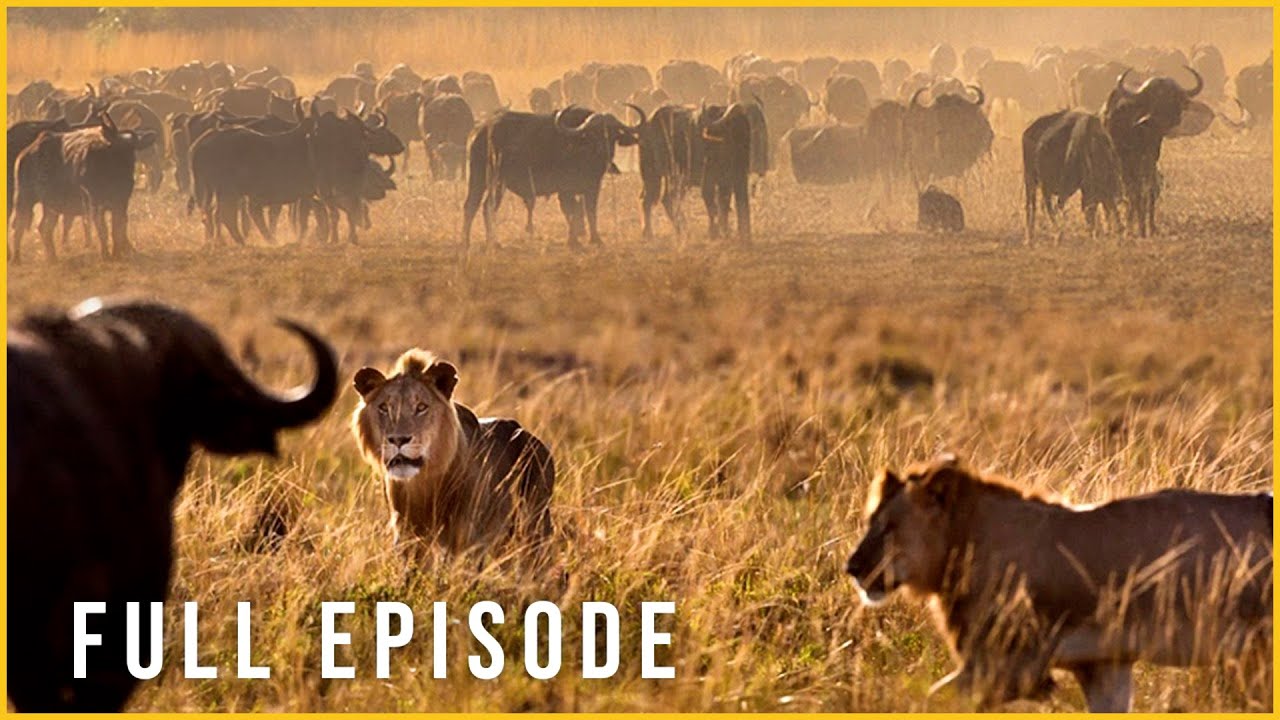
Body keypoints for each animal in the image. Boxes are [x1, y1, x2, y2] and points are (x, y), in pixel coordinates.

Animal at [352, 349, 555, 557]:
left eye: (421, 407)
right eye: (384, 407)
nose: (398, 440)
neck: (424, 482)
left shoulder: (470, 541)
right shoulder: (408, 538)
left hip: (535, 529)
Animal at [845, 455, 1272, 712]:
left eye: (889, 527)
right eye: (870, 522)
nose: (852, 567)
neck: (963, 542)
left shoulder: (1009, 665)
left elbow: (934, 698)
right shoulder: (1103, 665)